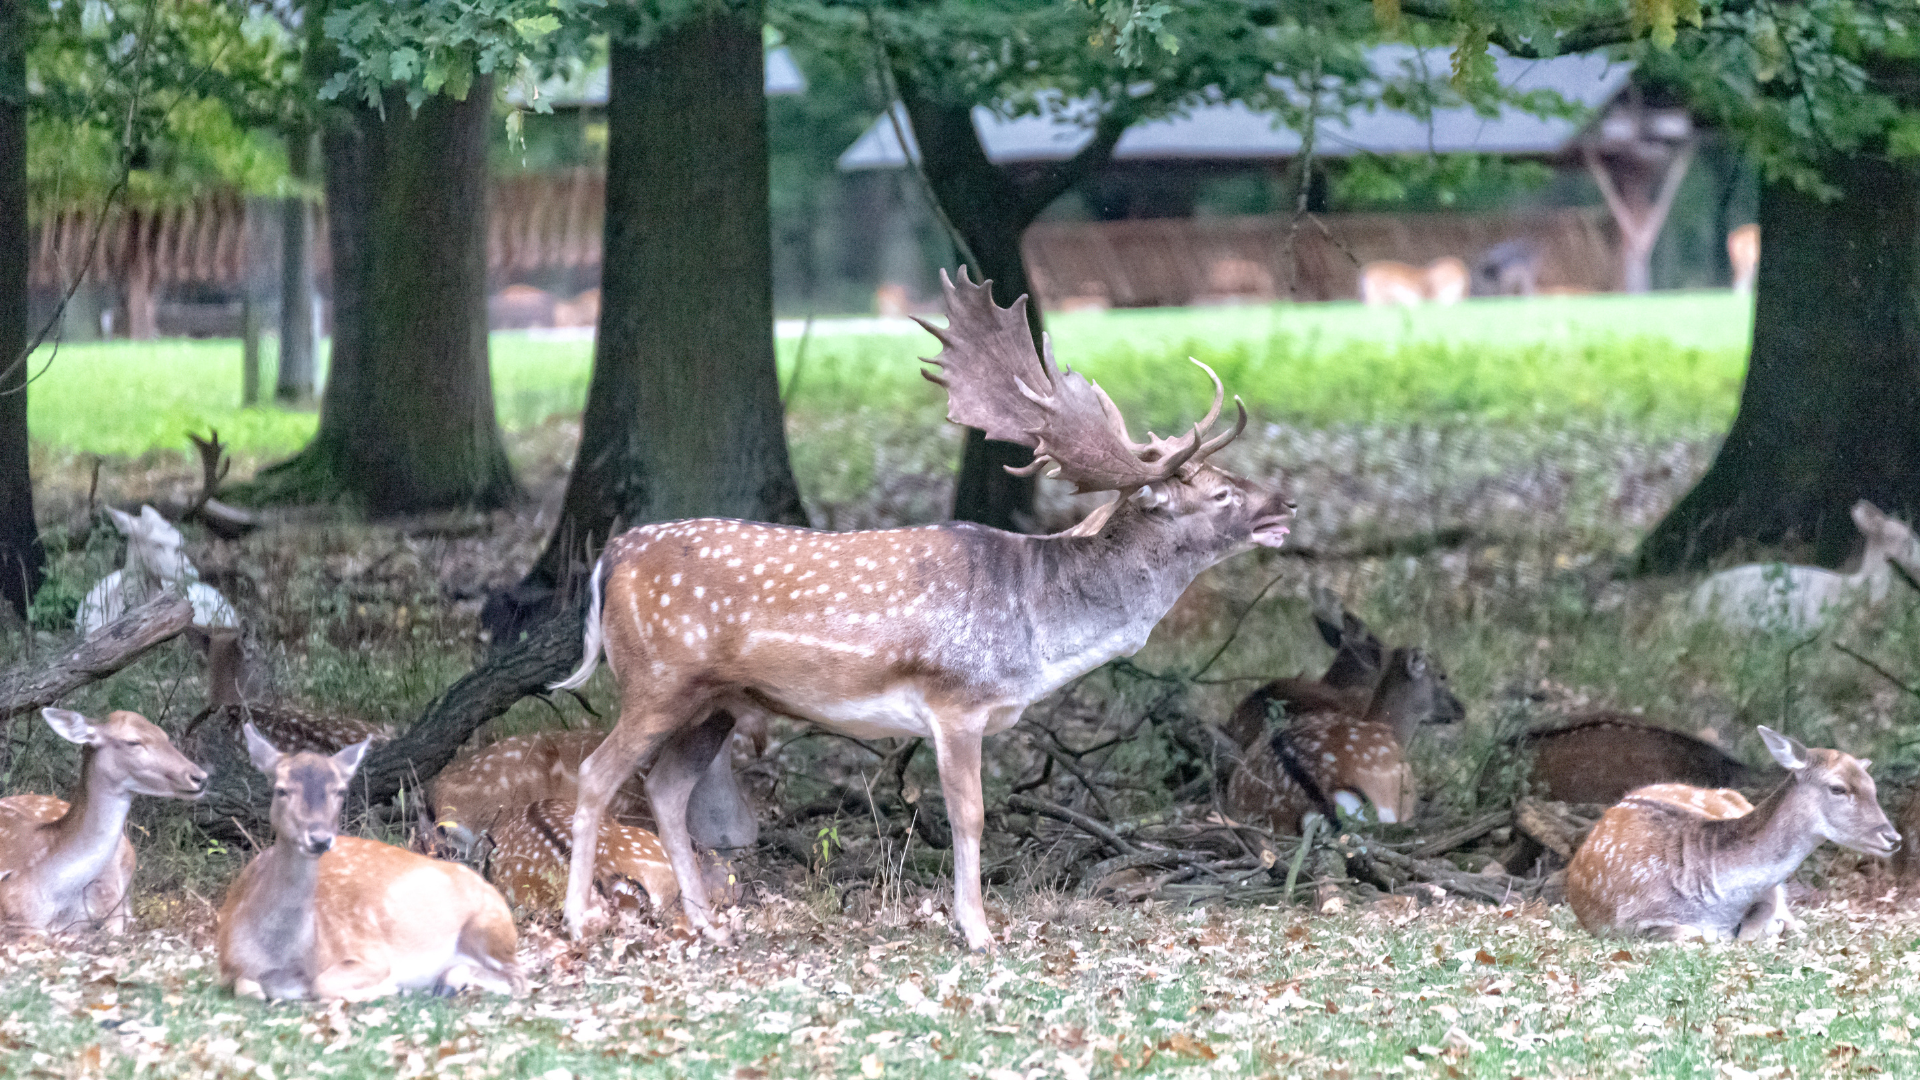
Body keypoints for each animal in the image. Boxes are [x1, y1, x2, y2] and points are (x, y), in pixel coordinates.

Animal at [217, 725, 524, 1002]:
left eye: (339, 791)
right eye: (280, 789)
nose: (319, 839)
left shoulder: (370, 954)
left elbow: (322, 984)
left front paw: (386, 988)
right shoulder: (228, 966)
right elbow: (247, 989)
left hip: (489, 925)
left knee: (516, 978)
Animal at [547, 268, 1292, 950]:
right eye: (1221, 493)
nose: (1286, 502)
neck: (1038, 629)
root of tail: (613, 555)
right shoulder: (955, 700)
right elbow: (970, 815)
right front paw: (977, 930)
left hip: (716, 701)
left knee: (666, 789)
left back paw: (706, 923)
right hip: (656, 679)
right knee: (596, 774)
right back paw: (581, 919)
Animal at [1567, 726, 1898, 942]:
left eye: (1873, 787)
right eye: (1838, 788)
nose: (1892, 838)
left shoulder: (1770, 893)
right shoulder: (1629, 921)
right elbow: (1695, 935)